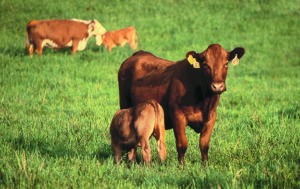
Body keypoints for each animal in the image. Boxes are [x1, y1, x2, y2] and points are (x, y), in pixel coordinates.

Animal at [118, 43, 246, 165]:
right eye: (205, 64)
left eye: (226, 63)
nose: (217, 86)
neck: (203, 100)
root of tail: (139, 53)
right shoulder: (177, 116)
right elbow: (182, 144)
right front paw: (182, 166)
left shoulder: (211, 117)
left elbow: (204, 145)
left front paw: (205, 166)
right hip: (125, 104)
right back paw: (133, 162)